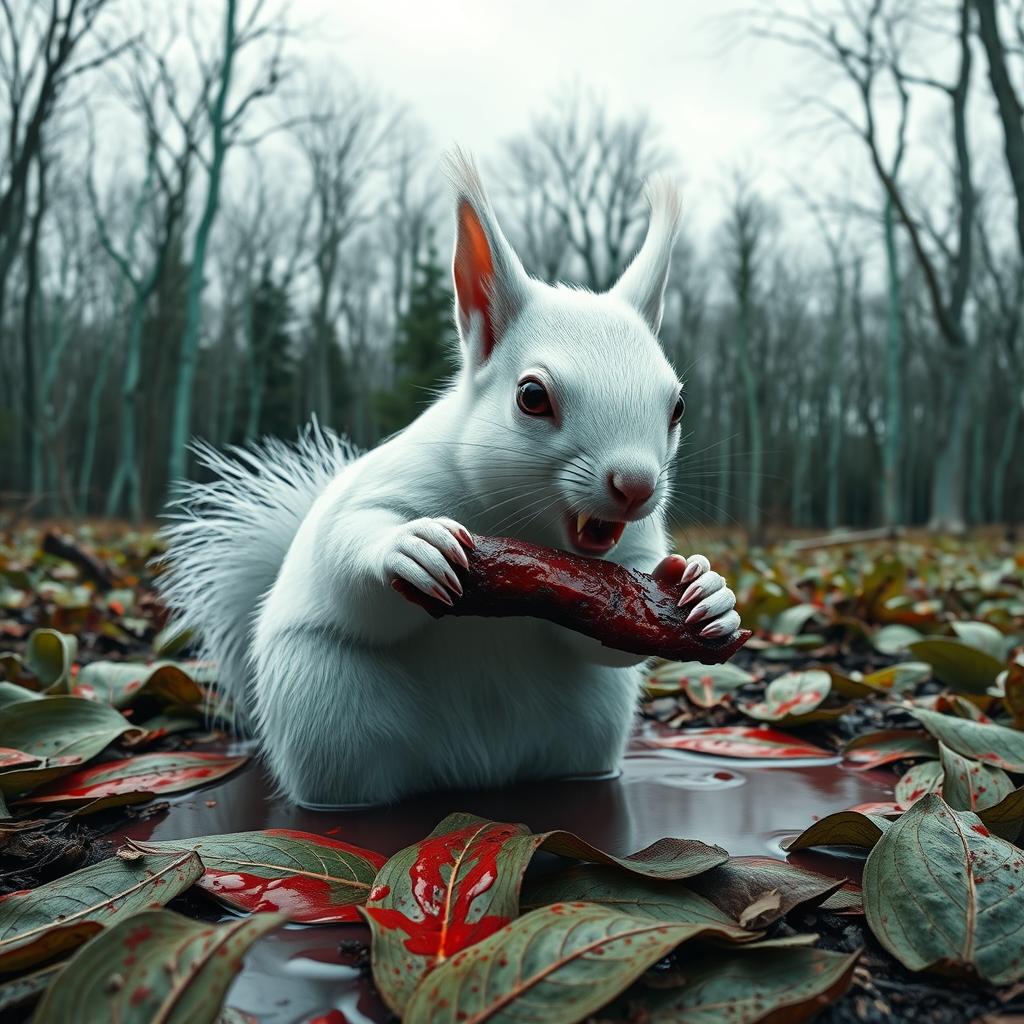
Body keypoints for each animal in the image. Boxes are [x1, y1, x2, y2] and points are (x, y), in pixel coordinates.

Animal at [157, 153, 741, 808]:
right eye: (531, 396)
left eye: (679, 406)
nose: (637, 486)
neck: (518, 524)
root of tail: (475, 774)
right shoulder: (387, 484)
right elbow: (347, 548)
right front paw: (414, 546)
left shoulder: (624, 566)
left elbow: (607, 632)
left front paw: (709, 592)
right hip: (329, 715)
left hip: (586, 727)